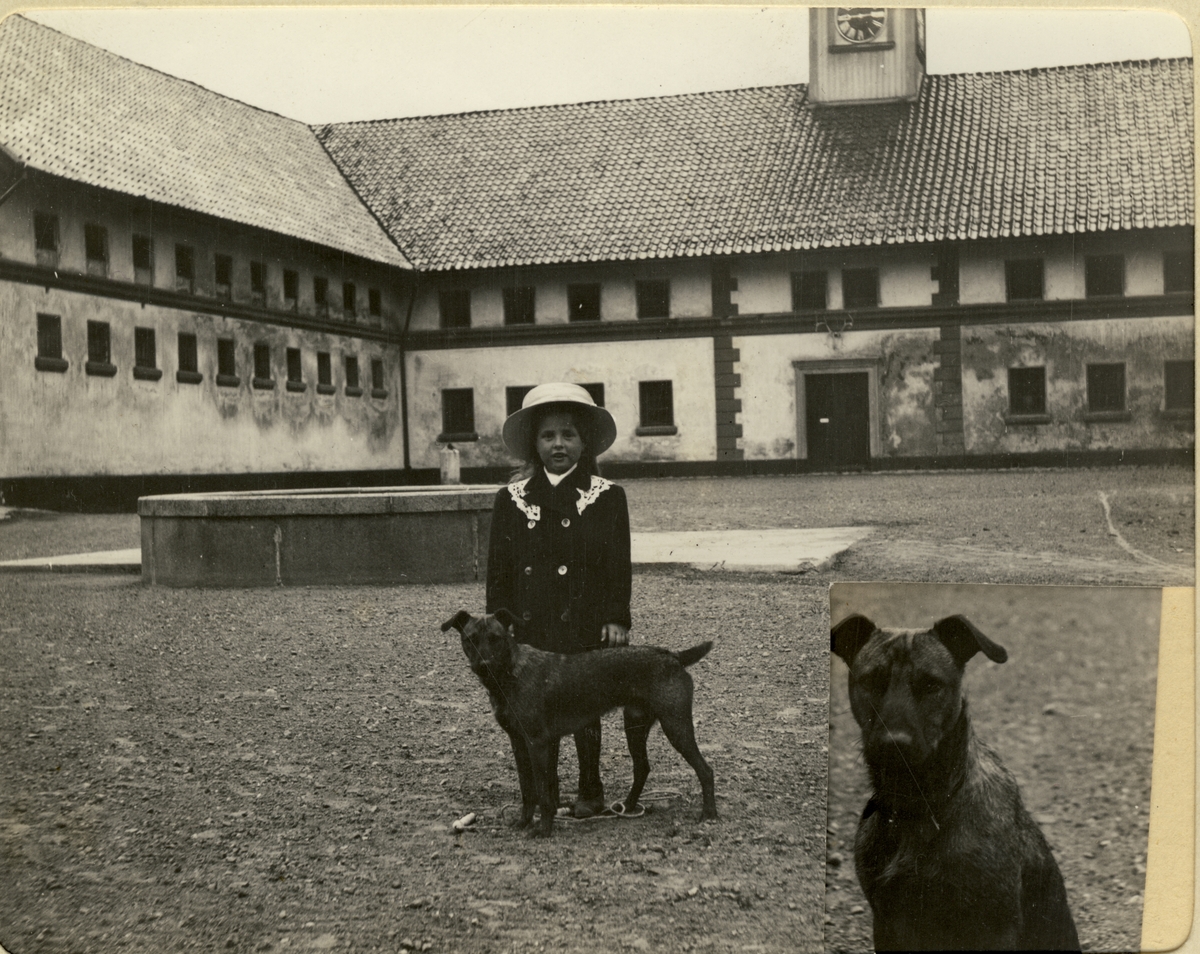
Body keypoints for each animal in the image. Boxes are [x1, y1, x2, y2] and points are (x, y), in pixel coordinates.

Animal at [444, 612, 715, 835]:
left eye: (496, 638)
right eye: (470, 639)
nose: (484, 665)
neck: (510, 673)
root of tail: (674, 656)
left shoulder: (537, 743)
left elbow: (543, 793)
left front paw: (543, 829)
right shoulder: (519, 743)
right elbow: (527, 791)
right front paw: (523, 822)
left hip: (676, 727)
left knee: (705, 770)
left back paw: (709, 814)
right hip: (635, 727)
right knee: (642, 769)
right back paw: (627, 807)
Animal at [835, 614, 1080, 950]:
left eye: (931, 684)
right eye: (872, 680)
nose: (894, 744)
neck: (919, 806)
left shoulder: (993, 927)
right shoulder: (886, 921)